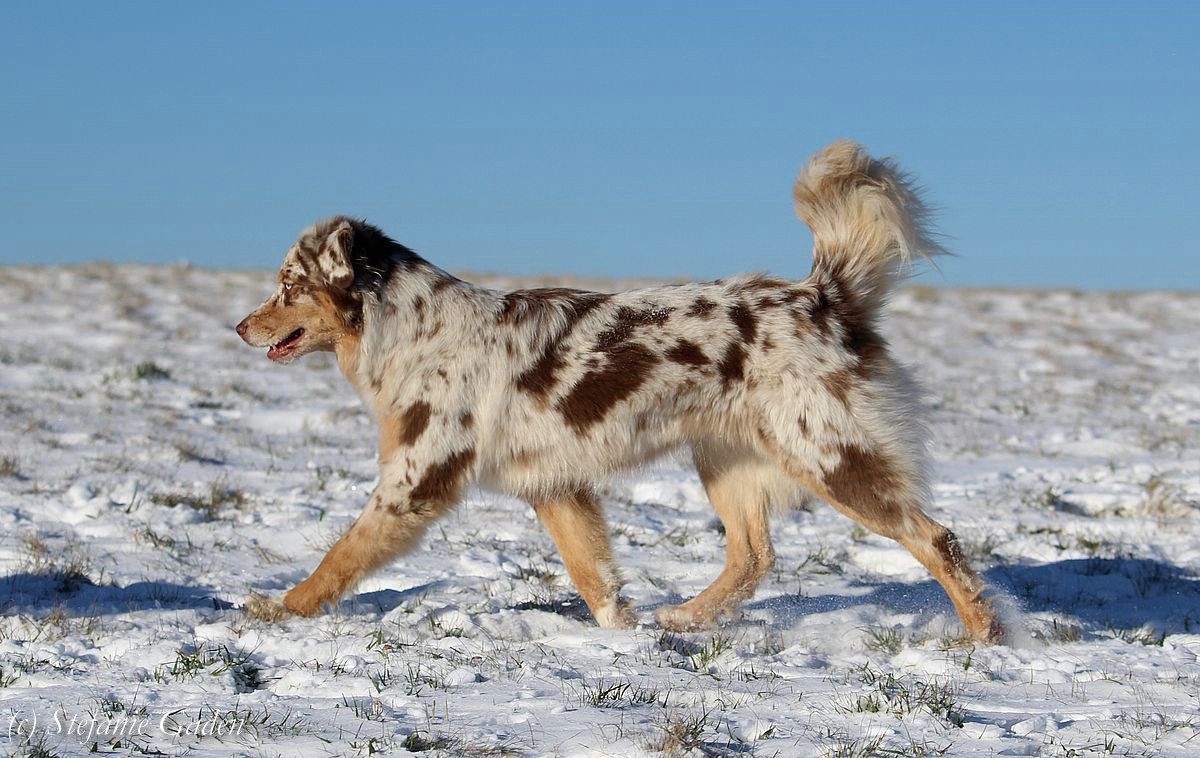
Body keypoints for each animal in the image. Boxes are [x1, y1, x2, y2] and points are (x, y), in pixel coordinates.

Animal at [236, 141, 1003, 643]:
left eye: (288, 285)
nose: (239, 326)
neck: (408, 326)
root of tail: (823, 296)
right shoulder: (556, 486)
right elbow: (594, 576)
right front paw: (620, 636)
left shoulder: (415, 481)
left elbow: (340, 557)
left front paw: (280, 608)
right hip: (725, 458)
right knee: (753, 556)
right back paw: (684, 617)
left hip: (831, 456)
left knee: (936, 537)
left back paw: (986, 635)